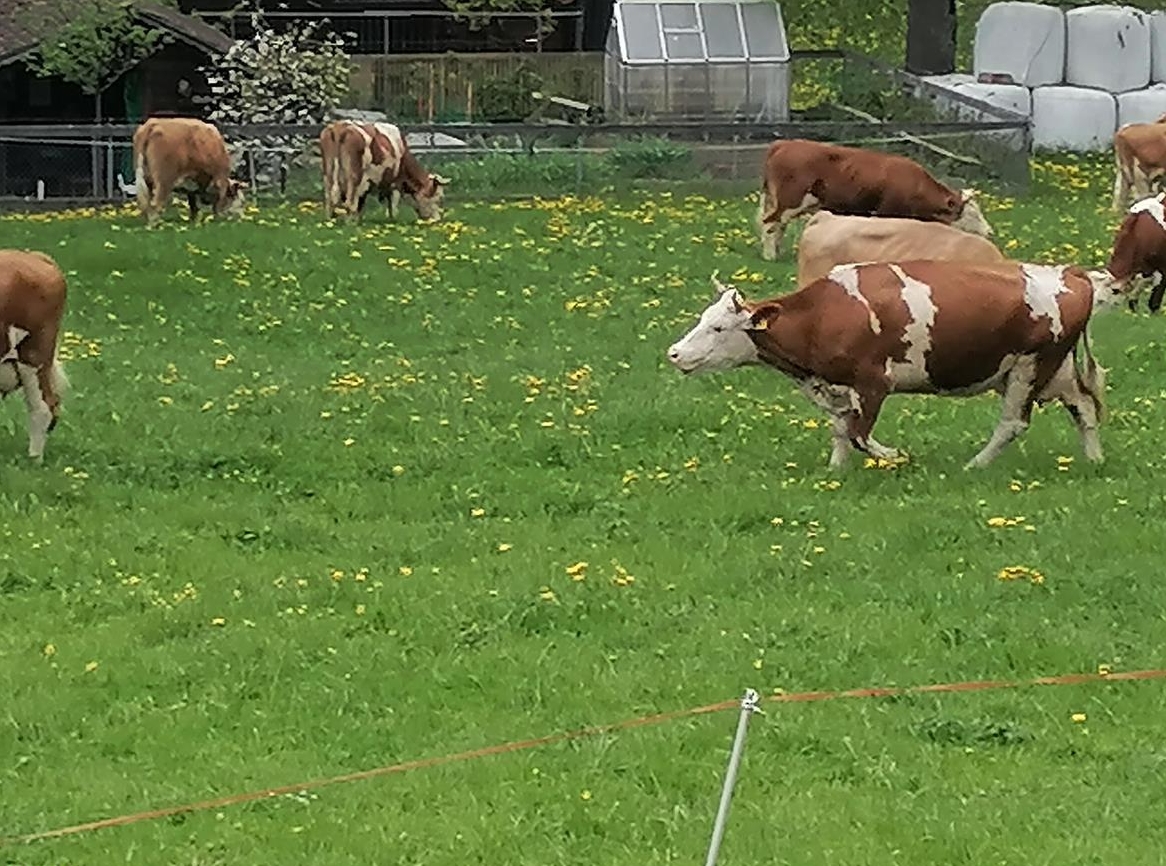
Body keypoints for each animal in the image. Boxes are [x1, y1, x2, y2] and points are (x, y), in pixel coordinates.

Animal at [319, 120, 449, 222]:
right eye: (439, 197)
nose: (437, 220)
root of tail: (339, 127)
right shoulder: (394, 181)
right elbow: (392, 201)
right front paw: (392, 219)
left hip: (328, 171)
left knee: (329, 197)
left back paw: (330, 219)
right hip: (354, 176)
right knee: (350, 200)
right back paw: (349, 222)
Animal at [666, 261, 1115, 471]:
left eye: (719, 327)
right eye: (703, 318)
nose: (674, 353)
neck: (822, 314)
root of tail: (1071, 273)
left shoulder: (872, 383)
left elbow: (859, 434)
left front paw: (896, 456)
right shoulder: (836, 386)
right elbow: (841, 430)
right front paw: (836, 469)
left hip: (1031, 367)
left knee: (1013, 423)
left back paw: (974, 465)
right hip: (1052, 371)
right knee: (1084, 408)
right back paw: (1094, 460)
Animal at [756, 139, 993, 261]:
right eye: (971, 213)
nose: (990, 231)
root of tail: (784, 143)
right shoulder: (887, 213)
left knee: (778, 225)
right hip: (790, 200)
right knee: (770, 223)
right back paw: (770, 256)